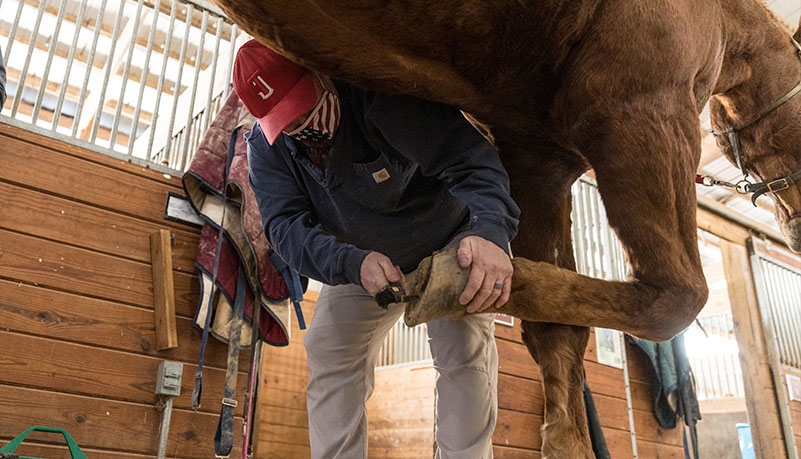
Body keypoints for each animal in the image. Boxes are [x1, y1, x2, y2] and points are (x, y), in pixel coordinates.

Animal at [211, 1, 800, 458]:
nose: (794, 233)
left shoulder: (540, 162)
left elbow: (561, 333)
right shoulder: (642, 113)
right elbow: (672, 297)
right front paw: (460, 275)